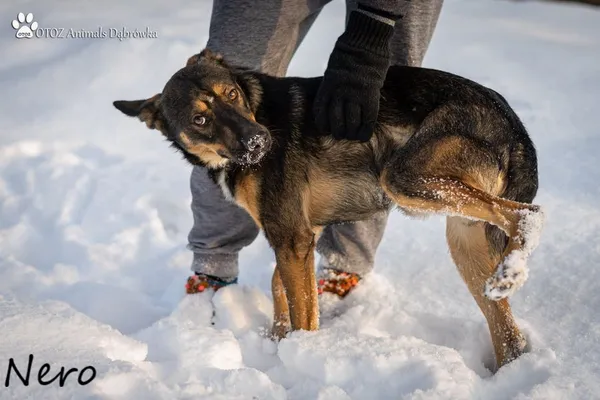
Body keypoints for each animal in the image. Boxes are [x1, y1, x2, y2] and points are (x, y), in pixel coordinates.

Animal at [112, 48, 544, 370]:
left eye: (231, 94)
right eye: (200, 119)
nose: (259, 141)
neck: (254, 109)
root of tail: (511, 120)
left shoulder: (292, 236)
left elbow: (301, 309)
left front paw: (299, 357)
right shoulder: (301, 233)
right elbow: (282, 288)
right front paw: (275, 342)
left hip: (404, 177)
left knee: (528, 214)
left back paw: (513, 268)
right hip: (464, 239)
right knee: (508, 334)